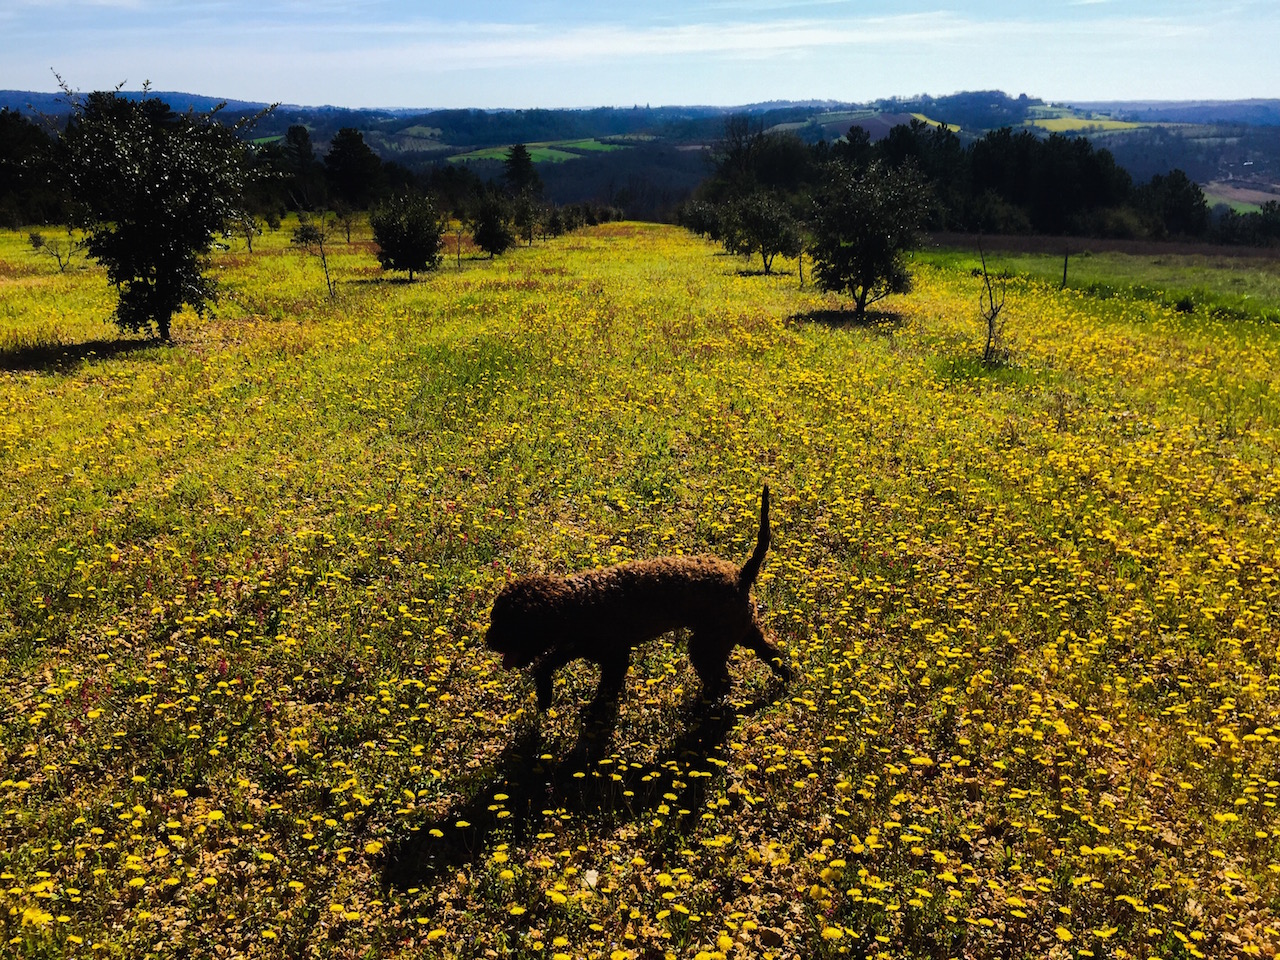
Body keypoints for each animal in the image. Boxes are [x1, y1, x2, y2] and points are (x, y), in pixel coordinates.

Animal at [488, 483, 788, 711]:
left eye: (511, 625)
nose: (488, 641)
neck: (576, 603)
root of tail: (742, 576)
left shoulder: (614, 656)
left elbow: (605, 690)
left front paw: (594, 715)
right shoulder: (574, 646)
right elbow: (545, 664)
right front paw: (544, 697)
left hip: (709, 644)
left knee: (723, 680)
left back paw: (701, 708)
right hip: (741, 632)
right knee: (773, 655)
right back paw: (786, 680)